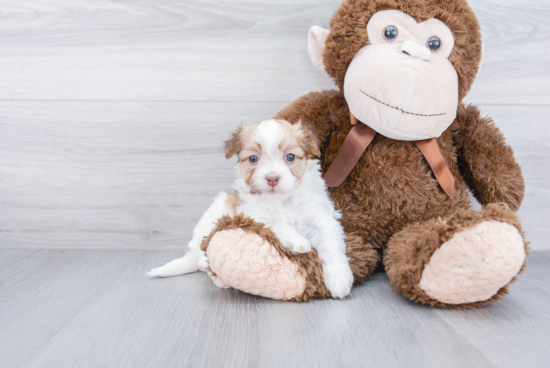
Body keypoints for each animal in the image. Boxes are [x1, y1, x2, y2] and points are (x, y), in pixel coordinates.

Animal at [148, 121, 354, 300]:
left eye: (290, 157)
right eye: (253, 158)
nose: (272, 178)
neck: (280, 201)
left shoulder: (320, 216)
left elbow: (330, 244)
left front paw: (339, 280)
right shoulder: (252, 214)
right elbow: (276, 223)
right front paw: (297, 240)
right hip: (216, 213)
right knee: (202, 258)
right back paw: (212, 270)